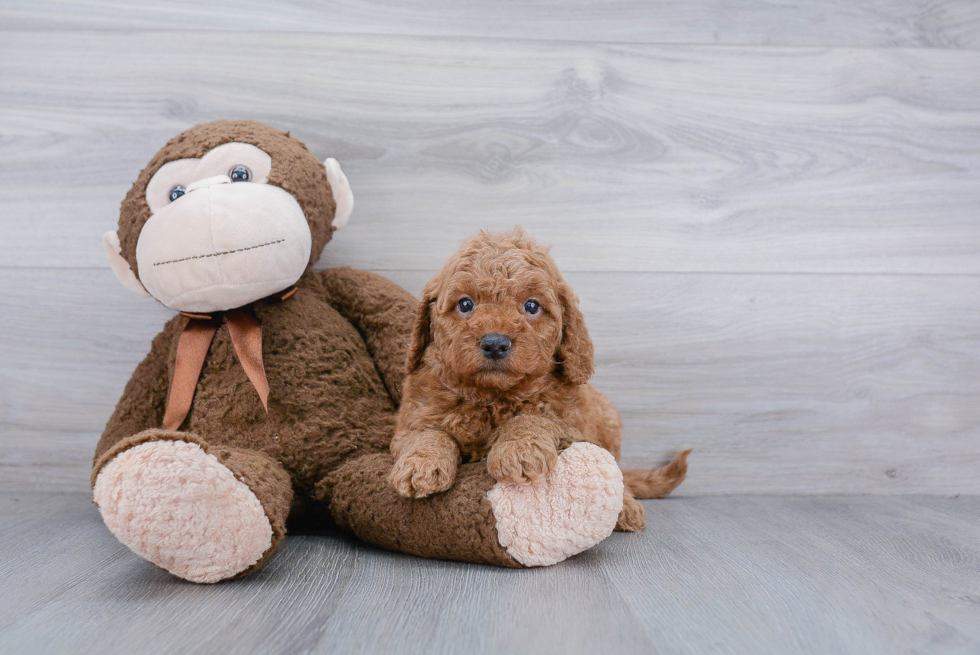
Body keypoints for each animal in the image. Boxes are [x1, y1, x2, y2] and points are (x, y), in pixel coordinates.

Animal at [390, 228, 688, 532]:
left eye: (531, 306)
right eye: (465, 304)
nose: (495, 343)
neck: (493, 397)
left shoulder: (569, 422)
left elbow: (532, 417)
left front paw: (518, 451)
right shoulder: (415, 416)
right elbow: (427, 434)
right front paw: (420, 466)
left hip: (608, 419)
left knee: (618, 472)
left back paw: (625, 506)